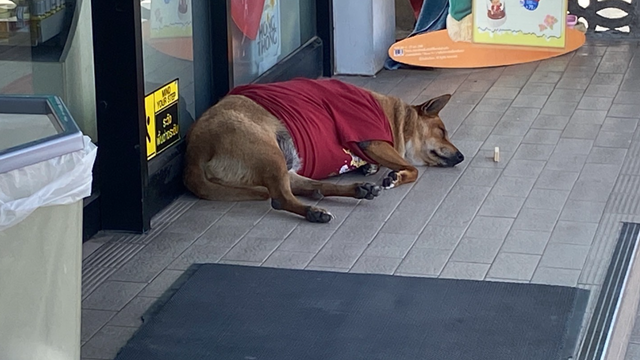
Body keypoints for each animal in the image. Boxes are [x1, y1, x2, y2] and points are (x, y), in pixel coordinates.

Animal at [182, 78, 462, 222]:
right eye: (442, 131)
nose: (461, 156)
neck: (395, 117)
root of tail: (194, 151)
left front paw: (371, 170)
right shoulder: (371, 139)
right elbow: (412, 168)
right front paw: (395, 176)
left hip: (284, 162)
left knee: (313, 187)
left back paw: (359, 190)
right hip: (267, 152)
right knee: (281, 198)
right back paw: (314, 212)